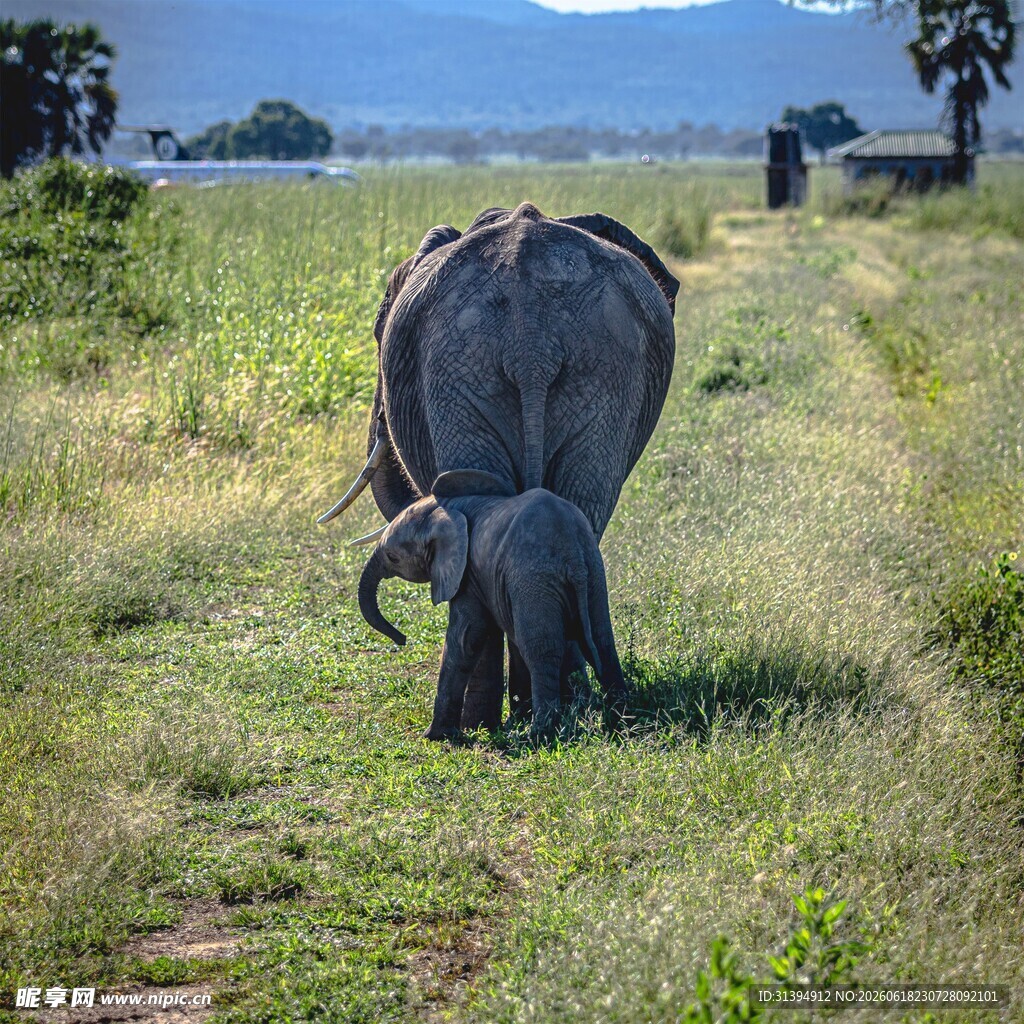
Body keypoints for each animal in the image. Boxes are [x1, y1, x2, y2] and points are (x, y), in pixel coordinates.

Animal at [357, 469, 627, 739]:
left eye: (393, 557)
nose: (402, 639)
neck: (449, 508)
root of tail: (573, 556)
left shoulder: (467, 573)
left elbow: (465, 638)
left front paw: (436, 736)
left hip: (533, 580)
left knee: (541, 650)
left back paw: (537, 734)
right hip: (593, 572)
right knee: (603, 641)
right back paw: (620, 718)